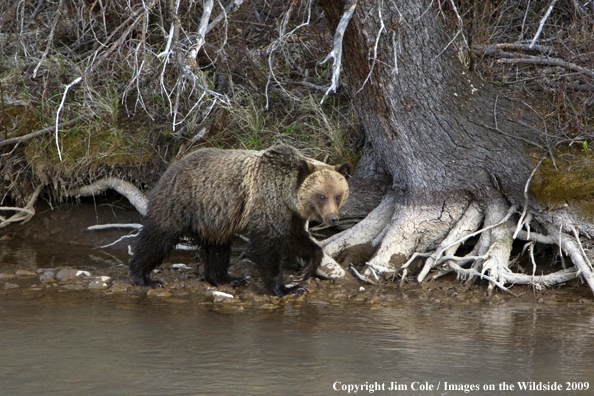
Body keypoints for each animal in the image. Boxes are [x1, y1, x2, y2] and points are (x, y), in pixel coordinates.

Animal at [128, 144, 352, 296]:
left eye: (337, 195)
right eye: (321, 196)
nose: (332, 218)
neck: (285, 192)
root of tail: (171, 166)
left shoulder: (290, 213)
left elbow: (294, 238)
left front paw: (308, 268)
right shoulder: (267, 202)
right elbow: (266, 243)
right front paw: (286, 288)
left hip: (214, 218)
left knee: (217, 247)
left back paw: (226, 278)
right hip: (182, 201)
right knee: (158, 237)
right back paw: (144, 277)